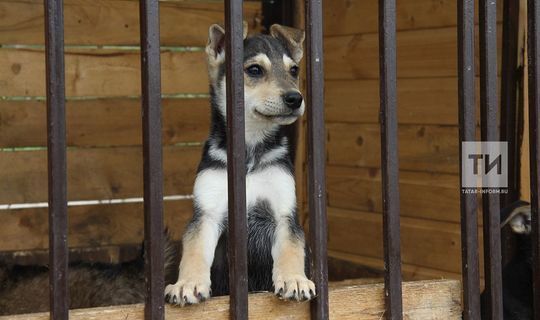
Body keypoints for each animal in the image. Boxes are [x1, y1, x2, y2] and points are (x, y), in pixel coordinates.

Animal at [165, 23, 316, 306]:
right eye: (254, 70)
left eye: (294, 70)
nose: (295, 98)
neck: (249, 153)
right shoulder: (207, 213)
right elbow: (194, 250)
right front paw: (187, 283)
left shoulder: (283, 213)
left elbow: (291, 248)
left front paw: (295, 279)